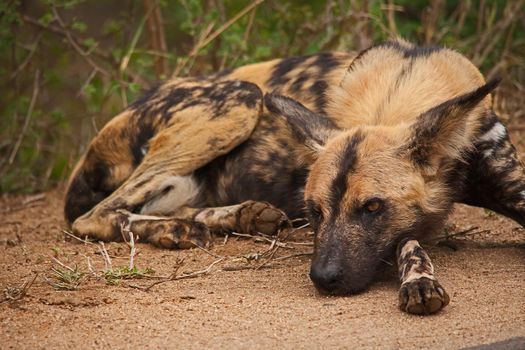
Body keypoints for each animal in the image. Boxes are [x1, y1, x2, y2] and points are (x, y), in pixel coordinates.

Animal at [63, 40, 520, 314]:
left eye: (373, 207)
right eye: (315, 211)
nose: (324, 279)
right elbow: (409, 240)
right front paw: (420, 281)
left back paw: (238, 216)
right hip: (241, 98)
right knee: (95, 216)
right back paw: (175, 229)